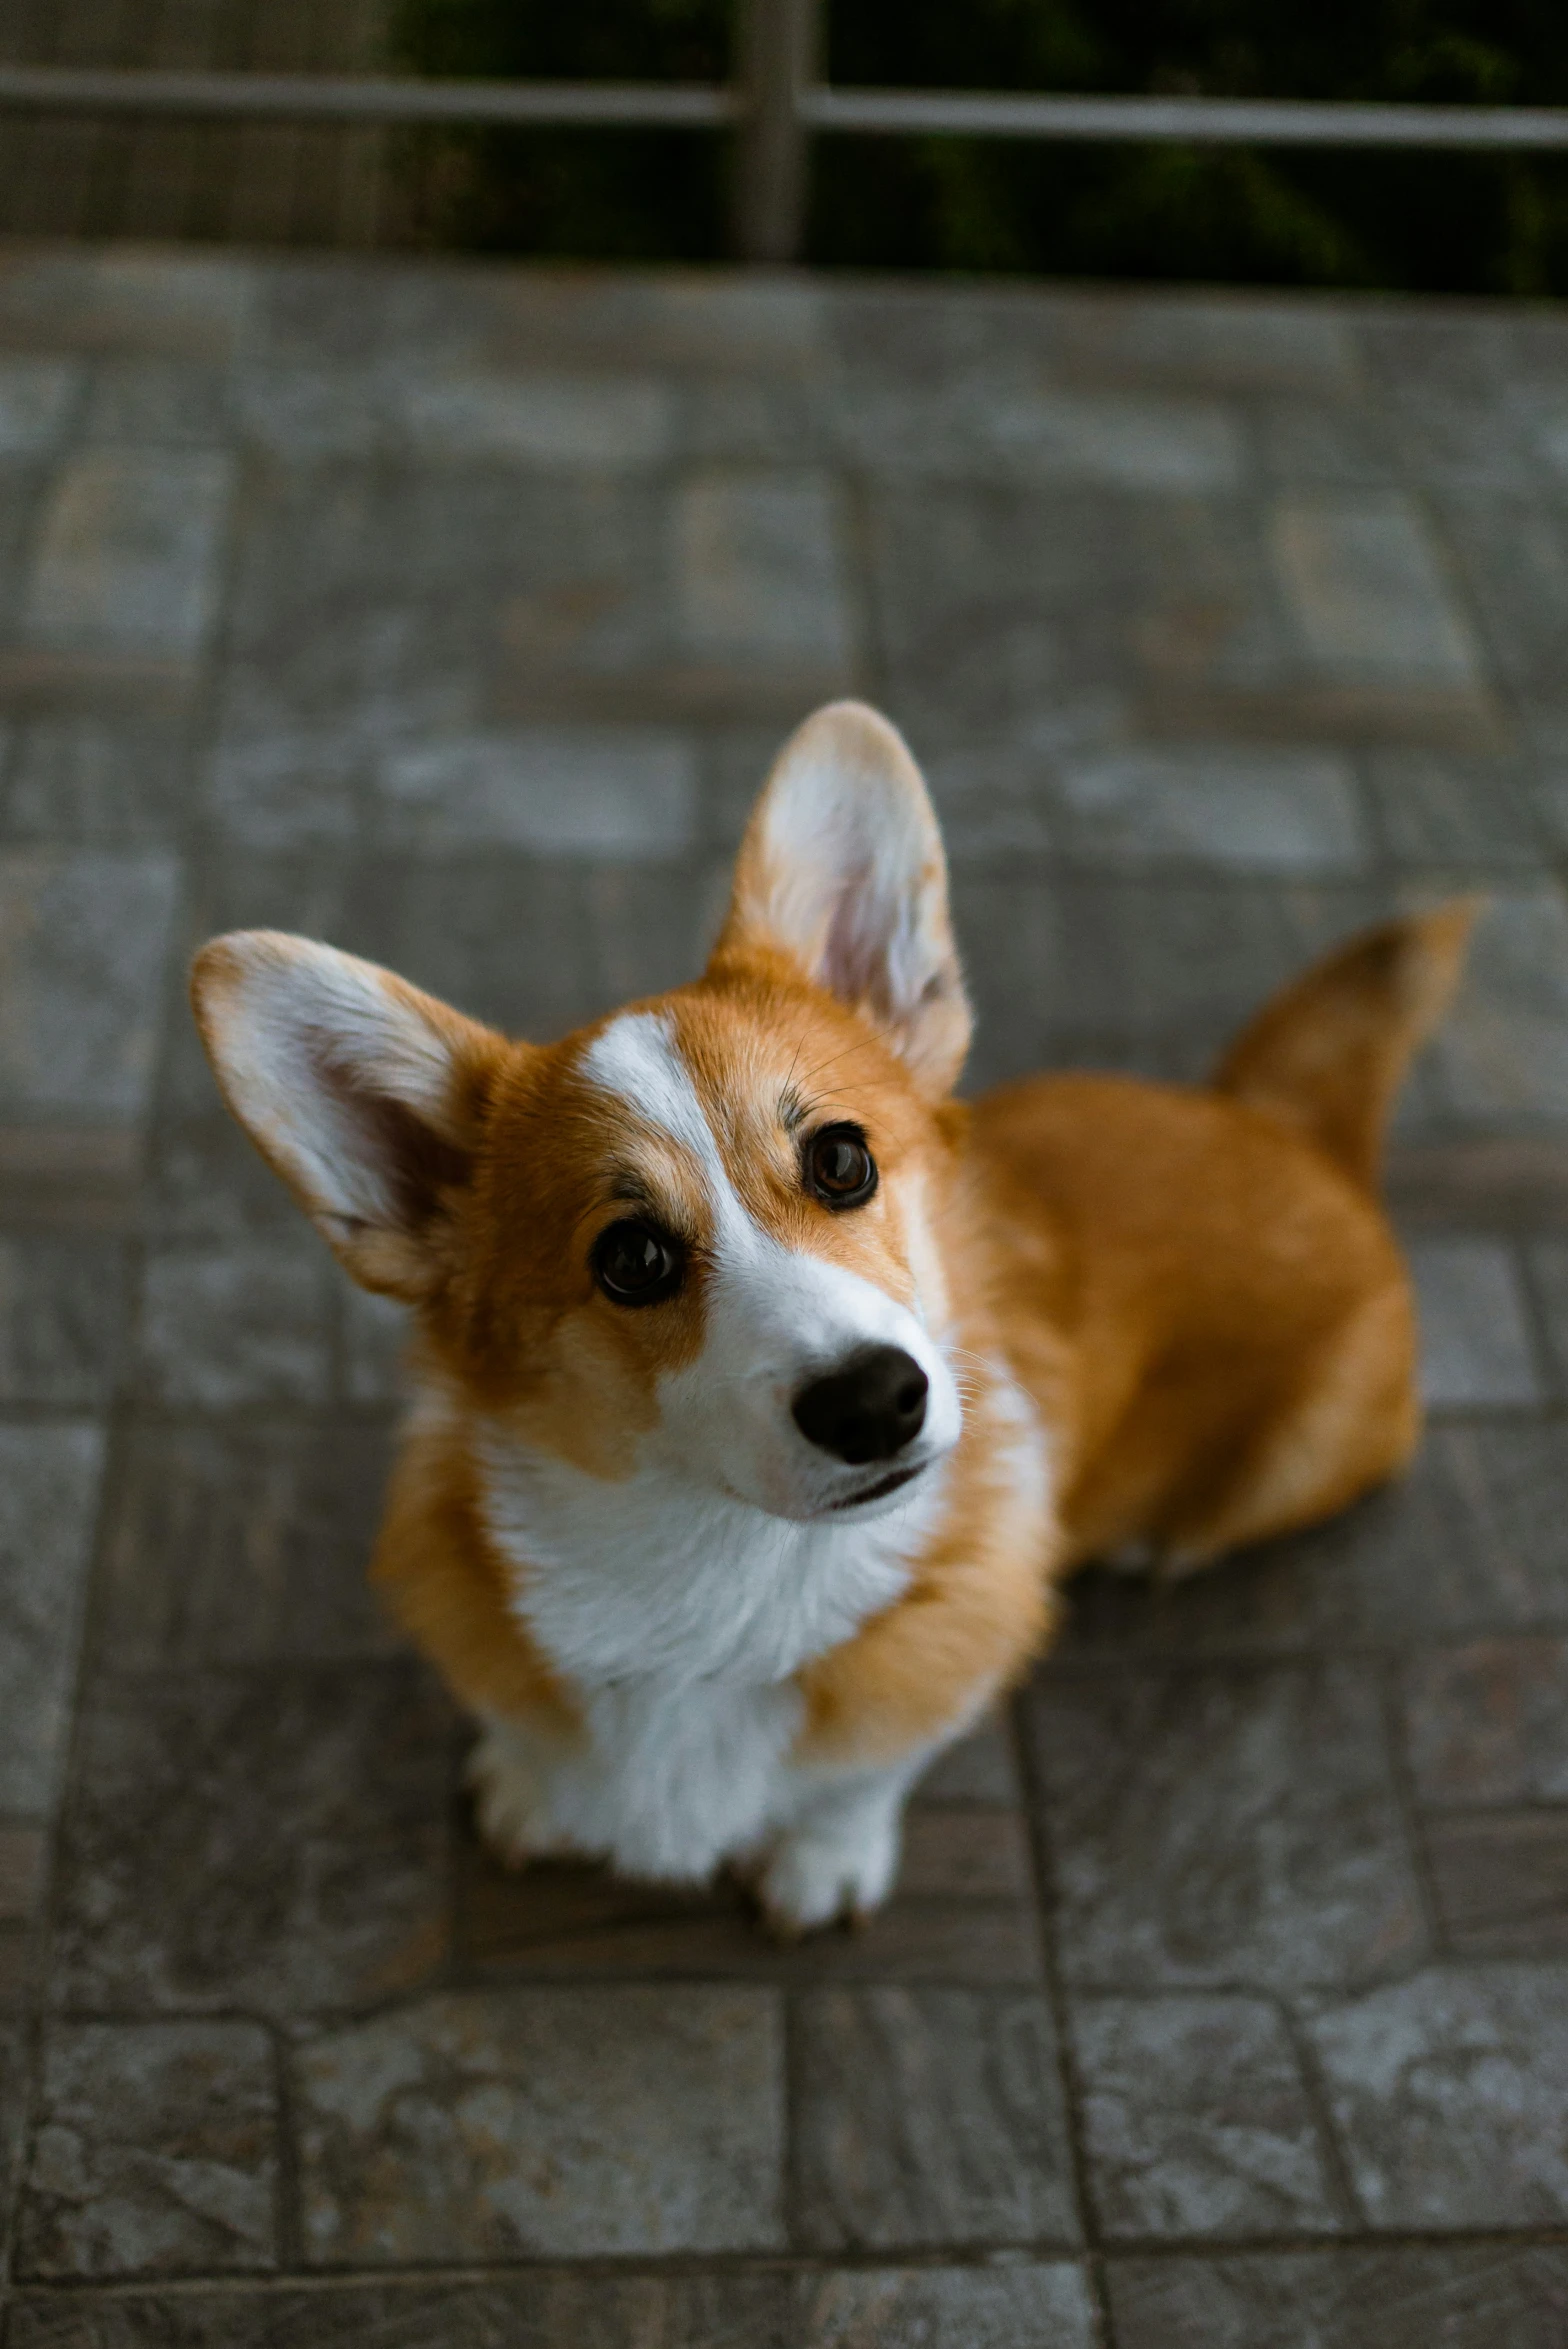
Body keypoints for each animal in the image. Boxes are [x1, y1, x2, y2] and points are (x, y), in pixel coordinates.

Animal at [190, 704, 1474, 1935]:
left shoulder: (935, 1669)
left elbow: (857, 1782)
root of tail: (1293, 1133)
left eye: (842, 1160)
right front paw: (534, 1791)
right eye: (631, 1258)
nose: (875, 1400)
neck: (723, 1584)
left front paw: (822, 1864)